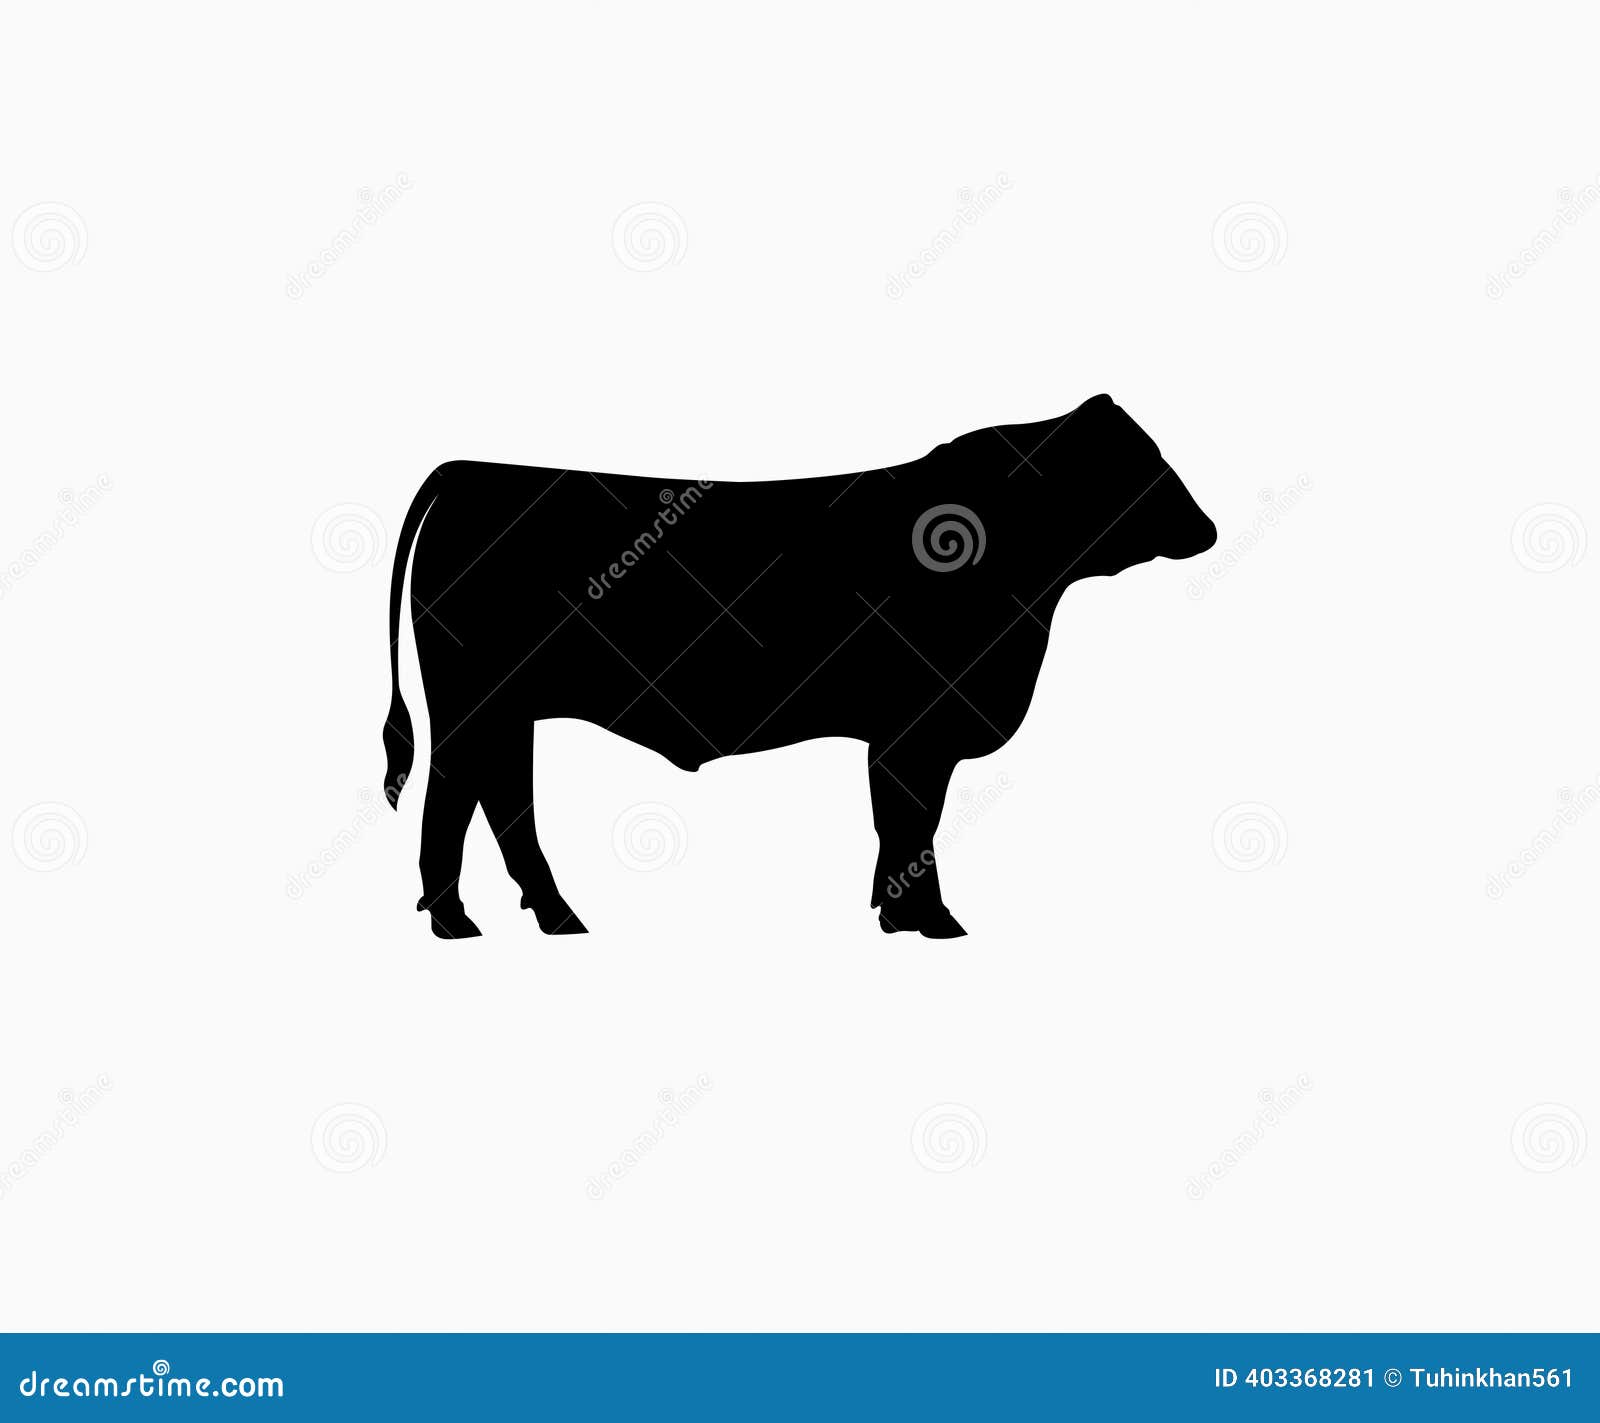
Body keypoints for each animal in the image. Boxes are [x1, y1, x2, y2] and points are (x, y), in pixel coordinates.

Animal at [382, 394, 1217, 939]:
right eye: (1141, 462)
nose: (1207, 528)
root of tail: (470, 469)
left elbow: (900, 824)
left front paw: (891, 912)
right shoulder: (916, 730)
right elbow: (910, 820)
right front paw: (930, 918)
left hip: (506, 705)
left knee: (501, 795)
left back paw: (553, 916)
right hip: (472, 699)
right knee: (457, 792)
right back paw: (457, 920)